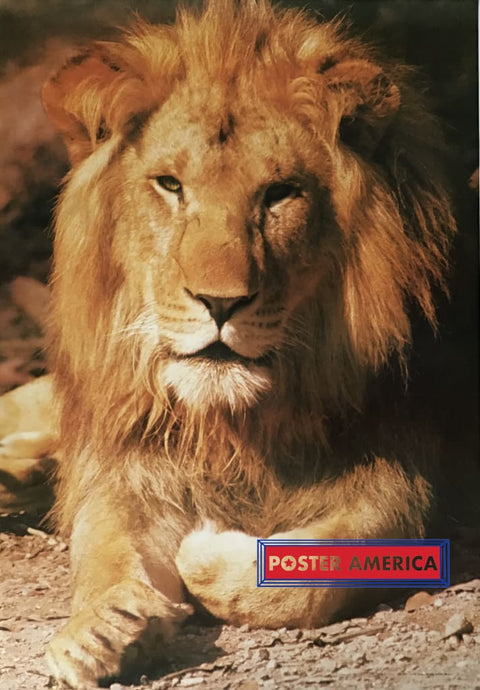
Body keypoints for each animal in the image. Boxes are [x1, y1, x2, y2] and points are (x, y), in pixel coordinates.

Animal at [1, 0, 461, 686]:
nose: (220, 304)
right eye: (169, 185)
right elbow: (102, 543)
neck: (233, 421)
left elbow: (337, 559)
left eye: (279, 194)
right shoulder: (131, 459)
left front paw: (205, 548)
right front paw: (103, 628)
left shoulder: (404, 463)